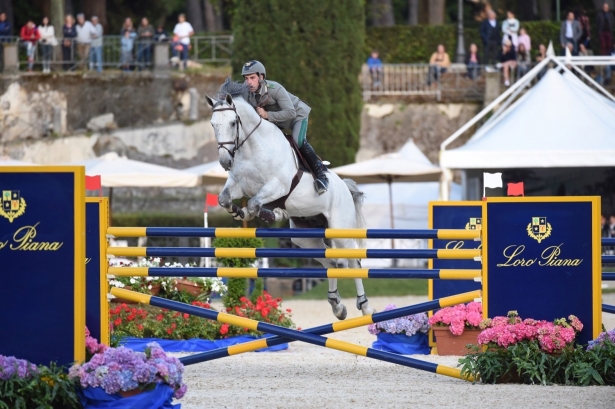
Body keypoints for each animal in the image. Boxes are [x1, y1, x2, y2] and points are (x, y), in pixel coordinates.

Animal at [206, 78, 376, 318]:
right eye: (213, 124)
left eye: (232, 123)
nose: (224, 162)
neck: (252, 148)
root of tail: (344, 187)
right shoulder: (239, 185)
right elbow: (225, 199)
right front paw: (242, 213)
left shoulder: (278, 185)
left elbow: (255, 202)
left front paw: (267, 213)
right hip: (306, 238)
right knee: (333, 262)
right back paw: (337, 306)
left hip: (340, 230)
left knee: (353, 263)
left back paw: (365, 305)